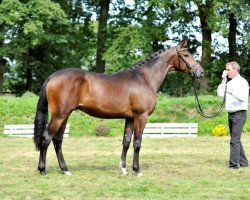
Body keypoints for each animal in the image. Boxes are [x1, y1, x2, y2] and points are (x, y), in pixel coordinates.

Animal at [33, 40, 203, 177]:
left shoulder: (130, 118)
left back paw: (65, 169)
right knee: (46, 138)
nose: (200, 72)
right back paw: (43, 170)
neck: (144, 79)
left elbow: (126, 142)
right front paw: (137, 170)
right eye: (186, 54)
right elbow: (137, 143)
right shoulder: (141, 116)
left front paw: (124, 169)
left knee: (57, 140)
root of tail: (52, 76)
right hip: (59, 115)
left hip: (65, 115)